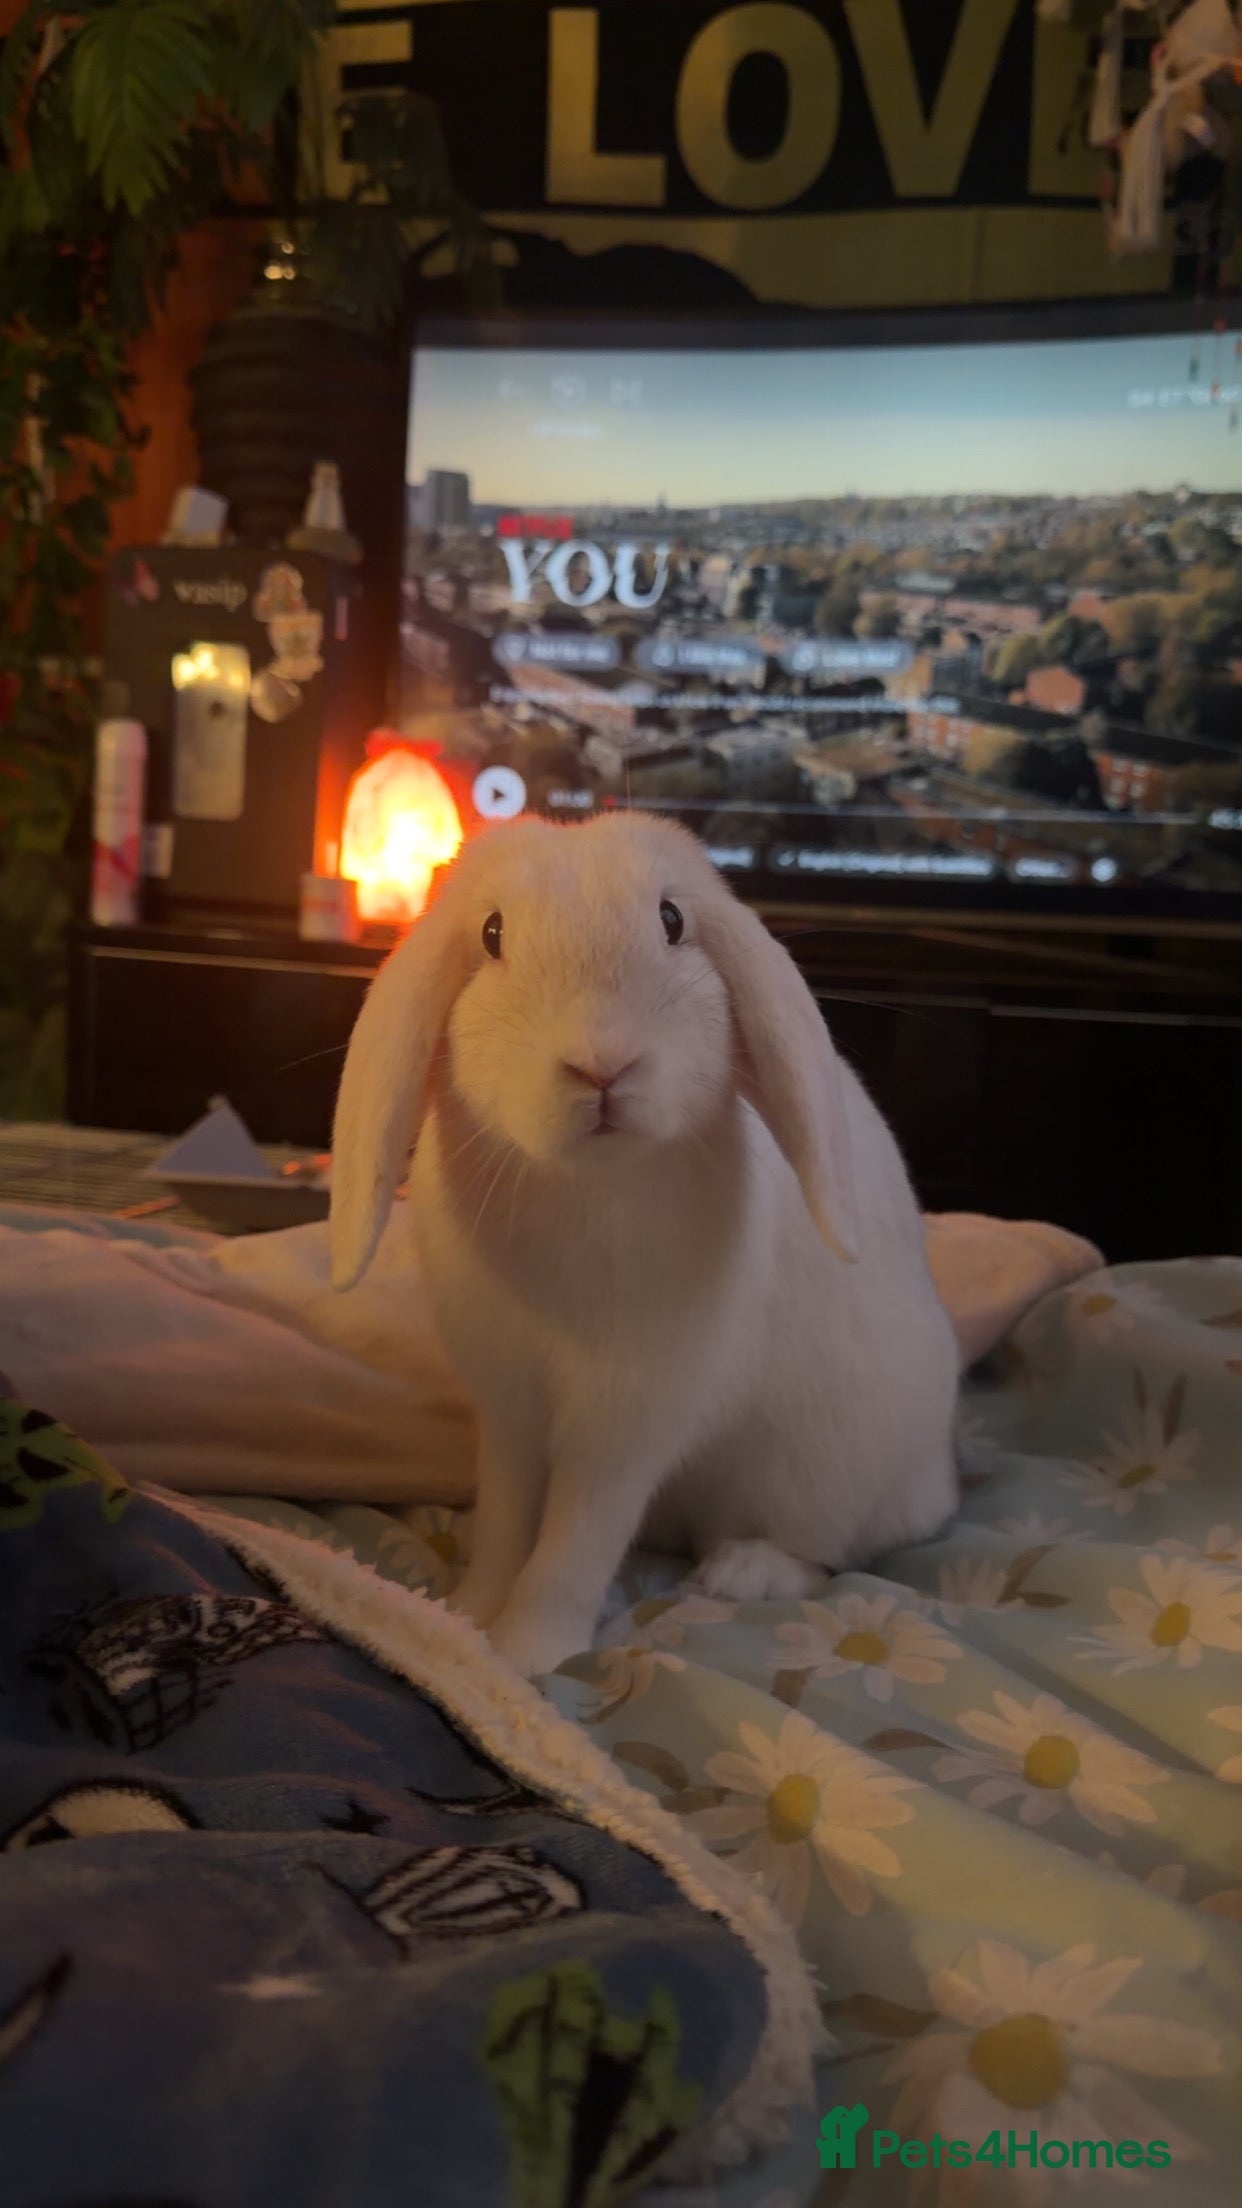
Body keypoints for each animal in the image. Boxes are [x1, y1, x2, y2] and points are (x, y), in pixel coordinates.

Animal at [330, 811, 960, 1678]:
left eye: (672, 921)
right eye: (491, 934)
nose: (602, 1065)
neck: (586, 1182)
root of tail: (941, 1477)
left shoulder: (627, 1422)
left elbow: (574, 1546)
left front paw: (529, 1654)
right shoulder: (510, 1408)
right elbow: (505, 1524)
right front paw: (466, 1617)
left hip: (825, 1471)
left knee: (834, 1552)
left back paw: (744, 1572)